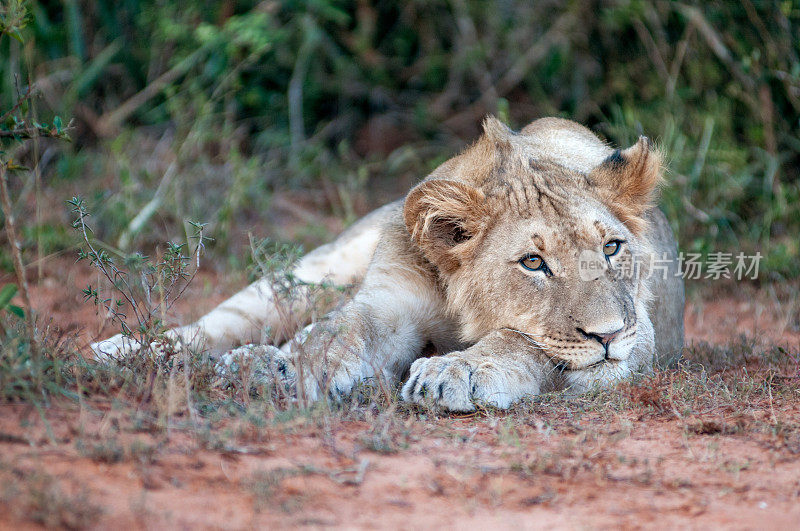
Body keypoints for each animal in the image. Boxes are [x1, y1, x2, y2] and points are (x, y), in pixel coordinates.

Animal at [92, 118, 680, 414]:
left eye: (611, 248)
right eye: (533, 262)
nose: (610, 335)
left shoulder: (643, 336)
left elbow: (522, 341)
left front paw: (456, 371)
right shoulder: (390, 298)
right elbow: (338, 332)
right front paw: (292, 370)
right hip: (310, 275)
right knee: (225, 323)